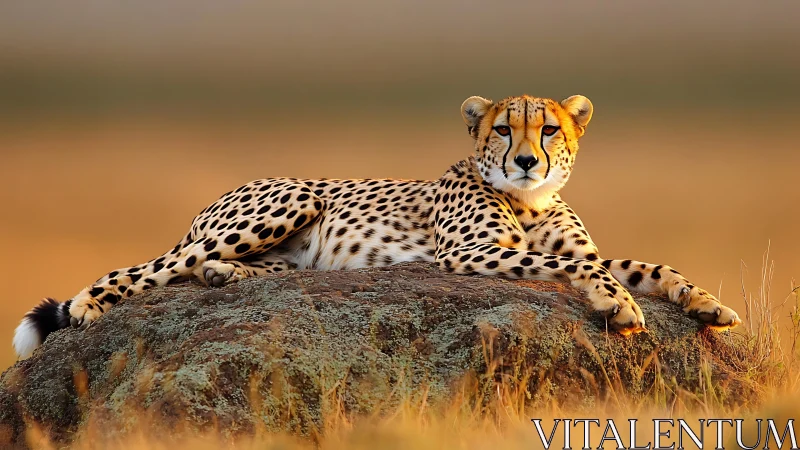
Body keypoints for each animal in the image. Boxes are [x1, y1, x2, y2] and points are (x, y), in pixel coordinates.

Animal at [13, 94, 742, 358]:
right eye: (505, 129)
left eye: (550, 129)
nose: (528, 161)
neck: (530, 202)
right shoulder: (471, 252)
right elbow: (574, 266)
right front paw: (618, 306)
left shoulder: (580, 245)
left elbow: (645, 264)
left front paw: (706, 303)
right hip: (290, 201)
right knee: (147, 268)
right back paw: (88, 308)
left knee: (202, 266)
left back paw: (226, 276)